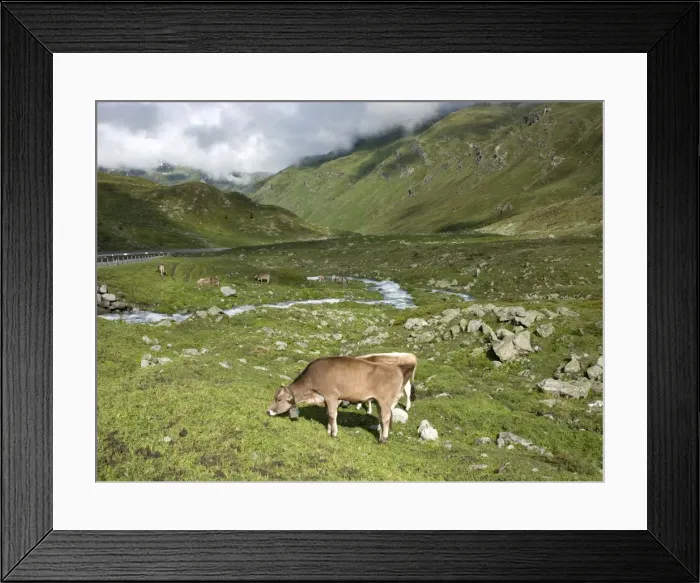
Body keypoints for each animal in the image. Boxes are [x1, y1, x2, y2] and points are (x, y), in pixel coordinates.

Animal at [266, 356, 405, 443]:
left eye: (279, 399)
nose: (268, 411)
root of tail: (396, 369)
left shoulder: (331, 396)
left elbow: (333, 414)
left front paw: (334, 433)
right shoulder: (329, 399)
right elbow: (329, 414)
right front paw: (328, 430)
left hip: (385, 401)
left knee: (385, 418)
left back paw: (383, 439)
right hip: (379, 402)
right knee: (381, 418)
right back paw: (381, 436)